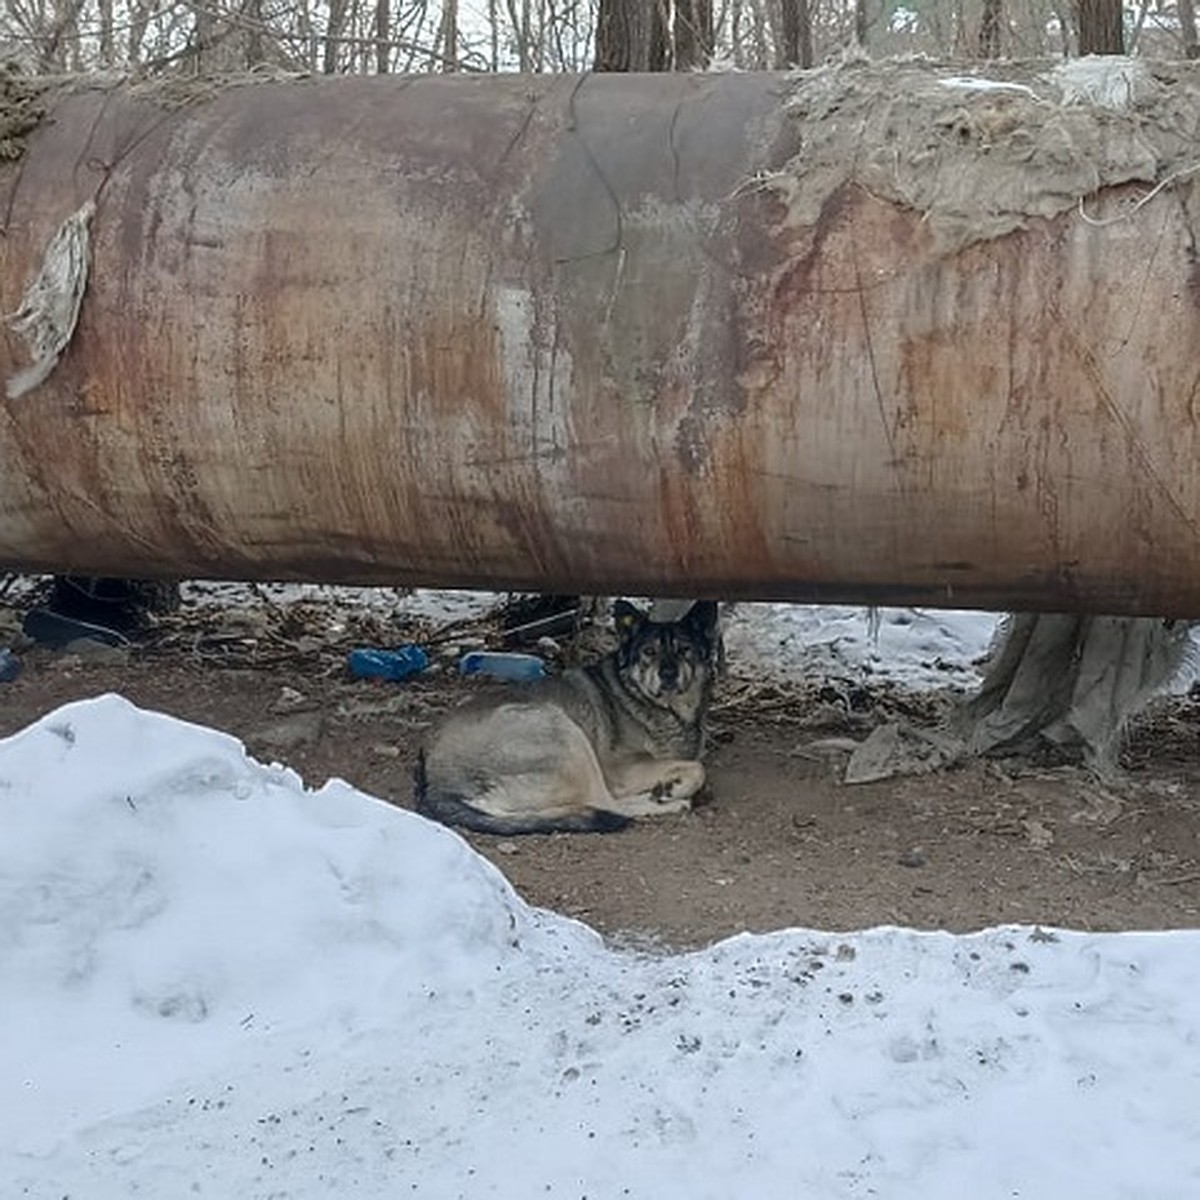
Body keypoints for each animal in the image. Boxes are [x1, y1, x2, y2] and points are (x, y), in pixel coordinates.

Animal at [417, 600, 715, 835]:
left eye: (684, 649)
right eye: (649, 652)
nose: (668, 674)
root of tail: (436, 780)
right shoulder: (622, 768)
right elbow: (699, 768)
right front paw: (671, 788)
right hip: (563, 733)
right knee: (605, 803)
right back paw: (667, 801)